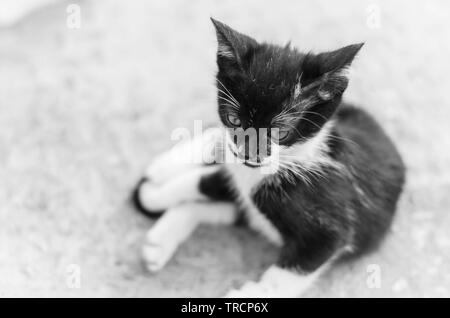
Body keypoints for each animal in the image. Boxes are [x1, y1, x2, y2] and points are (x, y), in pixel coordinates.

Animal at [132, 18, 406, 296]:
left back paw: (160, 238)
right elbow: (205, 179)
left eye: (280, 132)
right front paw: (155, 193)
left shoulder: (329, 226)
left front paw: (251, 294)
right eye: (234, 119)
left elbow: (289, 272)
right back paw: (166, 167)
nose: (248, 152)